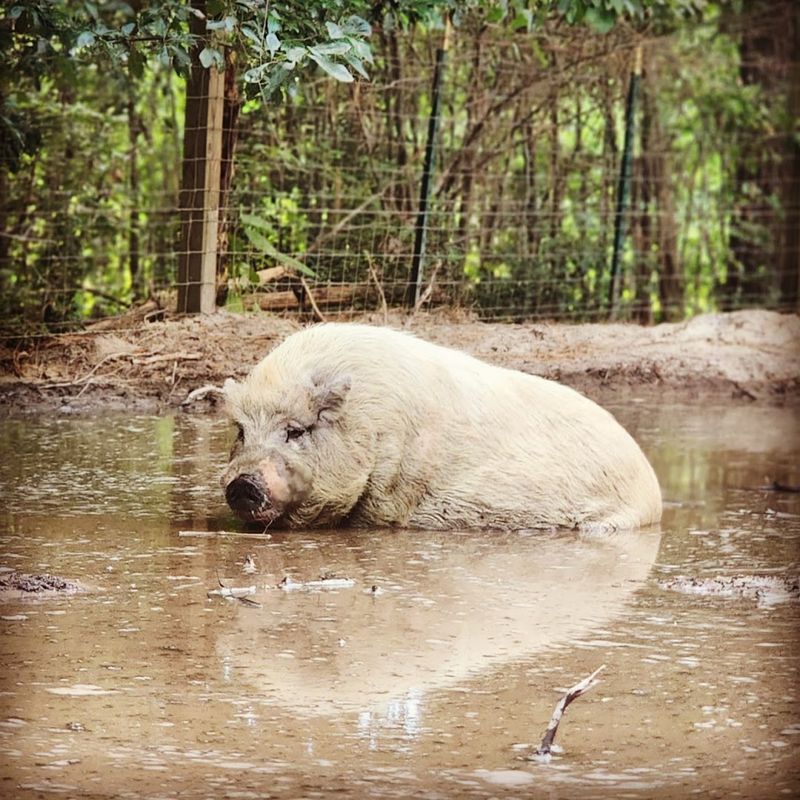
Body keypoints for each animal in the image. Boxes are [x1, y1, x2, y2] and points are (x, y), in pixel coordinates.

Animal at [221, 323, 662, 531]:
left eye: (296, 431)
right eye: (241, 431)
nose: (242, 483)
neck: (374, 426)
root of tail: (653, 490)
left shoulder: (392, 495)